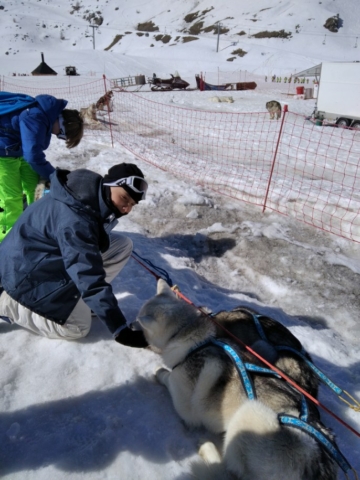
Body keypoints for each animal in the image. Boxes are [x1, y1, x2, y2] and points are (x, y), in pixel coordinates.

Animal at [136, 280, 338, 480]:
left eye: (140, 322)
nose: (130, 325)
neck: (188, 334)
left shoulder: (183, 400)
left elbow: (167, 377)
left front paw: (159, 371)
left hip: (250, 414)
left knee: (226, 471)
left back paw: (207, 448)